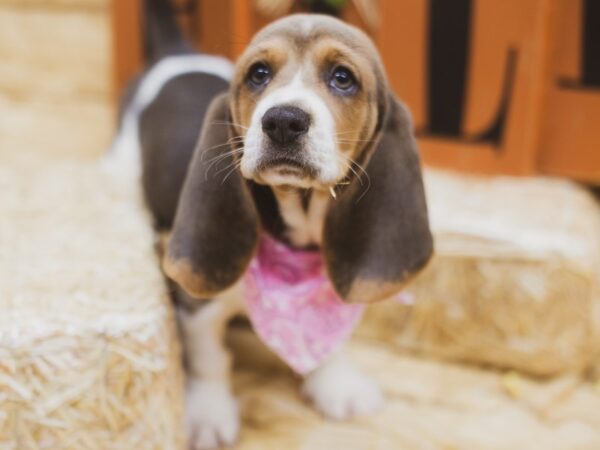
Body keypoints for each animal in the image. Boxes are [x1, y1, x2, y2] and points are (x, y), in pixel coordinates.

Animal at [112, 1, 432, 448]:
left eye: (343, 78)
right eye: (258, 74)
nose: (283, 120)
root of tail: (178, 54)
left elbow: (329, 339)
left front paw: (336, 384)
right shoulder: (197, 306)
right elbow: (210, 359)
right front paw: (208, 413)